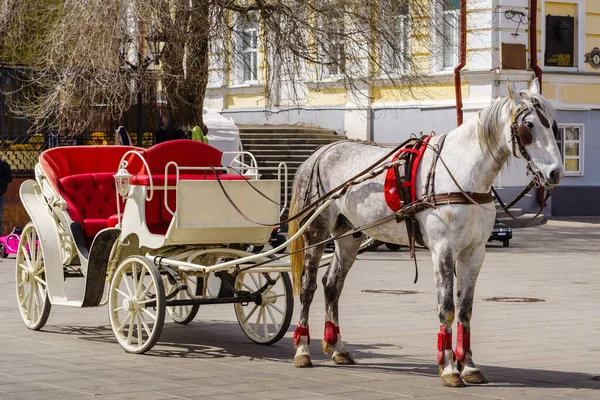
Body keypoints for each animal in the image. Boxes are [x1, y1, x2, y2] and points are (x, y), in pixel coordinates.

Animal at [288, 79, 564, 386]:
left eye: (553, 125)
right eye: (528, 126)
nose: (555, 173)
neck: (463, 174)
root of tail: (319, 153)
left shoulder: (474, 253)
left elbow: (465, 309)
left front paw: (469, 366)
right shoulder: (443, 250)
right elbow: (447, 308)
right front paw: (450, 368)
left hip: (348, 236)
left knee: (332, 285)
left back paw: (338, 348)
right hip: (316, 234)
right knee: (308, 287)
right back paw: (303, 350)